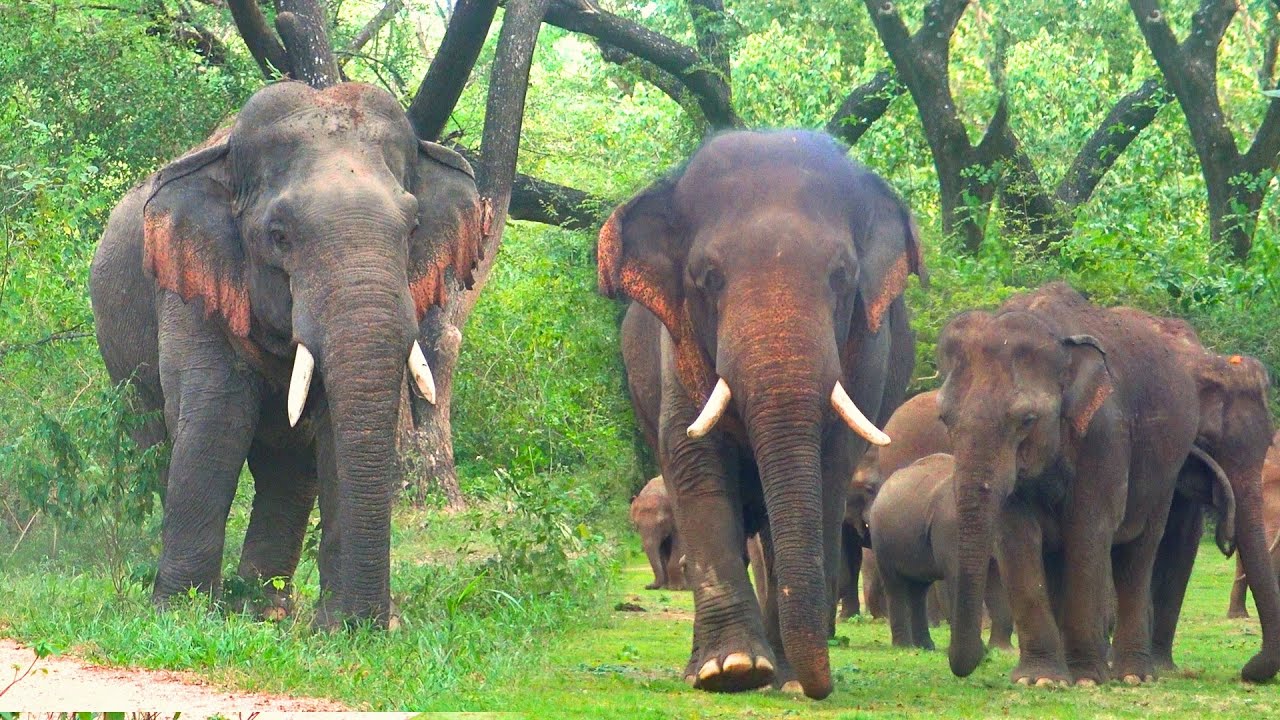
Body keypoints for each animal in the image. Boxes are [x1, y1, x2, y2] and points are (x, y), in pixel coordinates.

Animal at [90, 81, 485, 627]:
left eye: (412, 228)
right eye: (278, 236)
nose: (374, 622)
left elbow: (333, 430)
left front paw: (344, 628)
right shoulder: (190, 287)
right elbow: (215, 416)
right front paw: (178, 616)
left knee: (288, 470)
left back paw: (265, 608)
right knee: (156, 441)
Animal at [601, 130, 924, 698]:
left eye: (842, 276)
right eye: (709, 278)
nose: (819, 686)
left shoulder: (867, 352)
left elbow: (827, 467)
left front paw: (783, 677)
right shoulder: (676, 343)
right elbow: (693, 460)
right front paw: (731, 670)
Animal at [869, 453, 1013, 651]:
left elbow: (996, 579)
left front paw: (1000, 650)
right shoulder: (950, 526)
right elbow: (959, 576)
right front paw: (982, 651)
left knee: (918, 589)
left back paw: (925, 646)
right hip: (882, 542)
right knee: (895, 584)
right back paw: (904, 646)